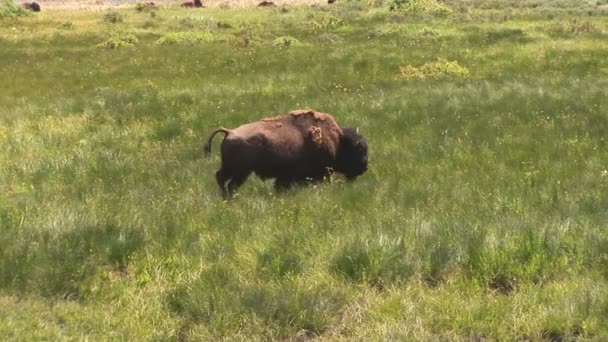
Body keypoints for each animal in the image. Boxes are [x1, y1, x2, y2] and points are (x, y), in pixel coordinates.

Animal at [204, 108, 368, 196]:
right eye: (359, 148)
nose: (365, 167)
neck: (339, 141)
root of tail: (229, 132)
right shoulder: (320, 173)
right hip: (241, 171)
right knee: (230, 184)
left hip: (233, 169)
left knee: (221, 178)